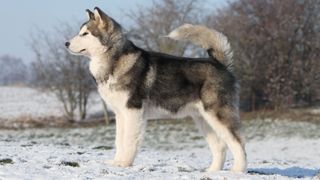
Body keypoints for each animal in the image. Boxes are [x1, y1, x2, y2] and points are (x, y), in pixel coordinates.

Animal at [65, 7, 248, 173]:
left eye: (85, 34)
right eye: (80, 32)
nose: (66, 43)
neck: (114, 62)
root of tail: (220, 64)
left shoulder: (133, 111)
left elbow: (129, 141)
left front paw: (124, 164)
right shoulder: (120, 114)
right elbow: (119, 141)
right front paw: (116, 162)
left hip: (218, 115)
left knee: (238, 143)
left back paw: (238, 170)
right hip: (203, 119)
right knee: (220, 146)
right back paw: (212, 171)